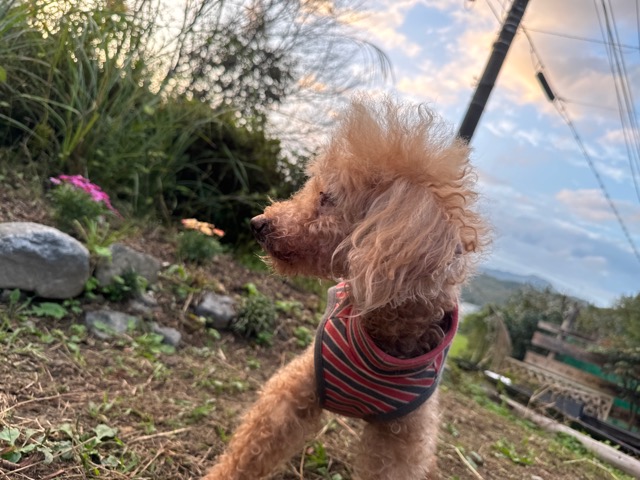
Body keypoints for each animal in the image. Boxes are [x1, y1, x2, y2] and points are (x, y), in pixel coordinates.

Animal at [203, 95, 488, 480]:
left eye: (327, 197)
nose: (257, 223)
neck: (383, 334)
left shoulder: (402, 440)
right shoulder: (295, 390)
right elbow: (251, 449)